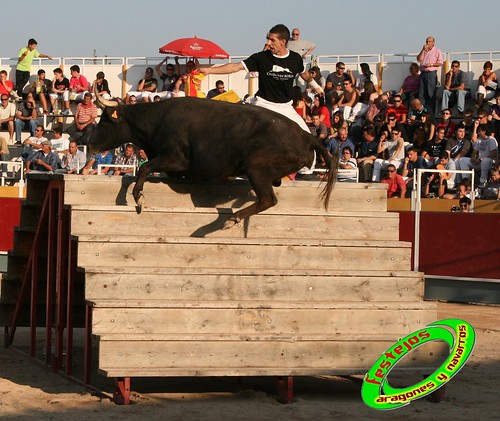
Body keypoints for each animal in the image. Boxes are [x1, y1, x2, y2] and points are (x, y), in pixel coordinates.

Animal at [90, 94, 340, 228]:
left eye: (104, 121)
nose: (90, 143)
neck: (157, 119)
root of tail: (306, 135)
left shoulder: (176, 159)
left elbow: (144, 169)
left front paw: (139, 198)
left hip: (256, 166)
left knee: (267, 199)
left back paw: (233, 219)